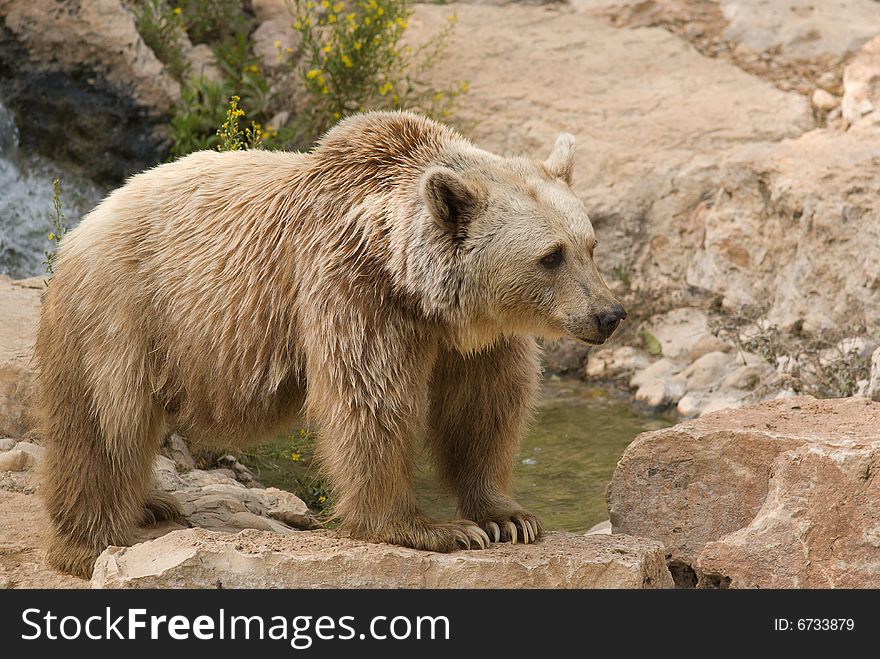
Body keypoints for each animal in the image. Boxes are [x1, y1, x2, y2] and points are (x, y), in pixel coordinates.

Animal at [34, 112, 624, 576]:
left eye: (590, 245)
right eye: (550, 256)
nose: (610, 314)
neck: (410, 281)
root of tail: (86, 220)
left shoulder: (474, 338)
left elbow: (483, 408)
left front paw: (508, 517)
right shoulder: (351, 288)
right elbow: (370, 402)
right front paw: (434, 529)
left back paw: (151, 503)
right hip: (123, 313)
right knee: (106, 425)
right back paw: (90, 543)